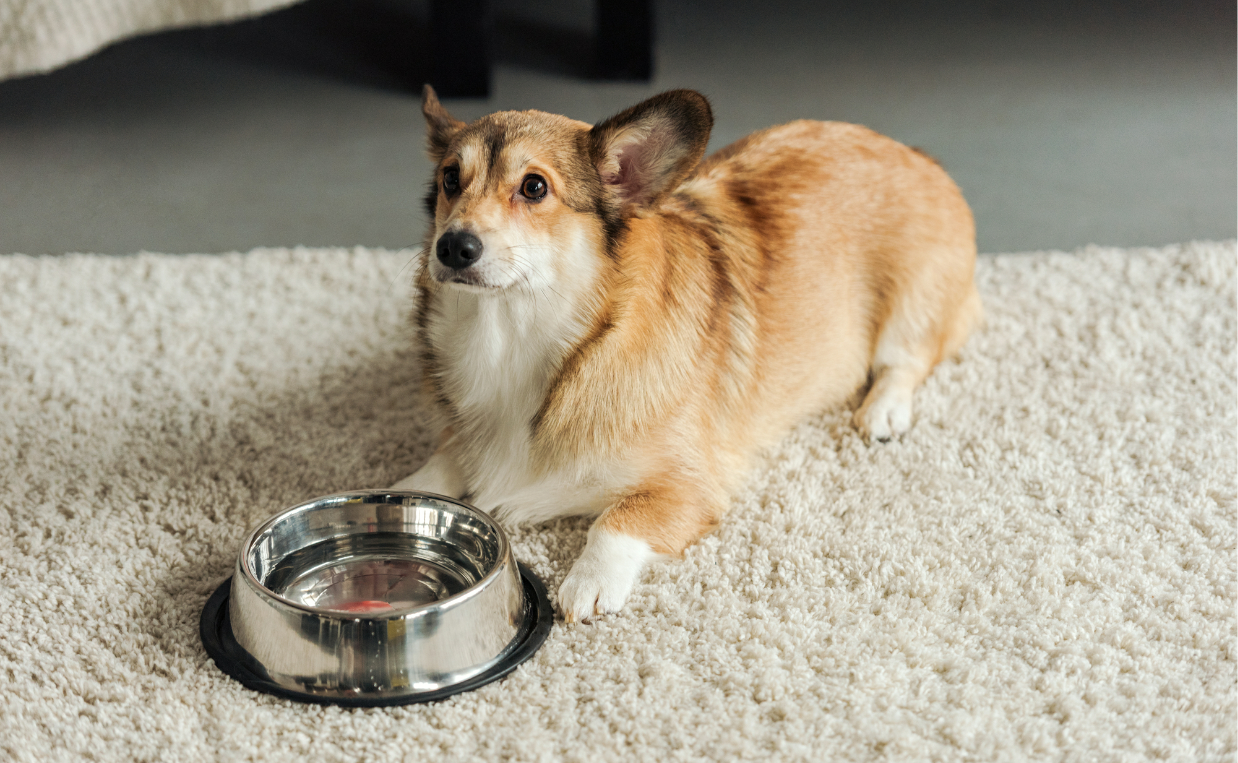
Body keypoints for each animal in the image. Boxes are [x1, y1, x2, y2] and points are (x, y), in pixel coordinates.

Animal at [393, 84, 975, 619]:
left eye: (534, 187)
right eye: (450, 179)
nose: (453, 246)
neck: (515, 338)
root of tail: (911, 151)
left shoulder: (688, 487)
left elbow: (614, 521)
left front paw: (589, 582)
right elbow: (438, 470)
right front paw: (403, 489)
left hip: (912, 304)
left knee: (906, 360)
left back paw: (884, 411)